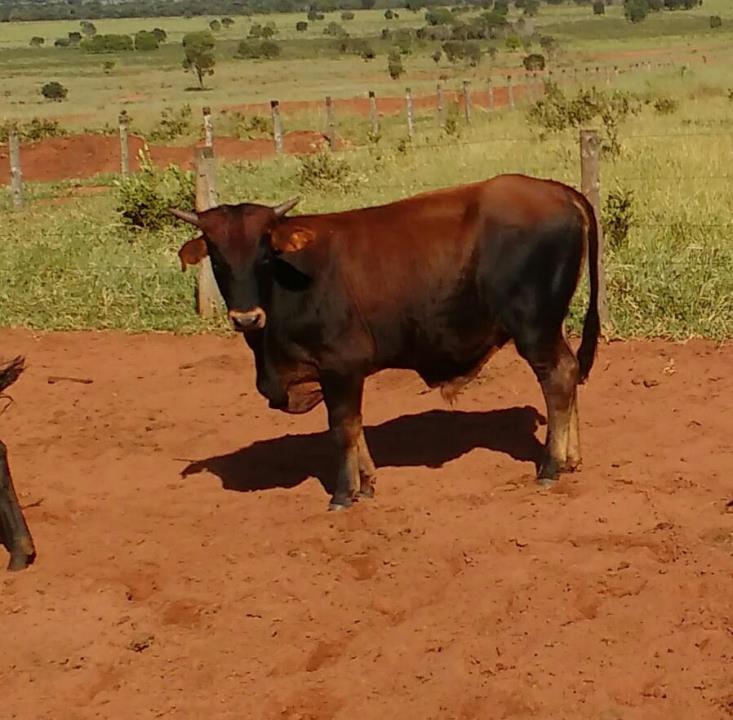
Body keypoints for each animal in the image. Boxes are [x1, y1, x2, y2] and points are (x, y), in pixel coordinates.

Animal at [171, 174, 600, 510]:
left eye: (264, 252)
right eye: (217, 257)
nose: (246, 317)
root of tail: (561, 191)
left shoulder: (340, 366)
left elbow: (342, 428)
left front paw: (344, 494)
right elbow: (355, 427)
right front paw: (366, 484)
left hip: (534, 328)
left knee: (558, 377)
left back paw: (550, 466)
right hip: (549, 327)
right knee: (569, 373)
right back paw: (571, 458)